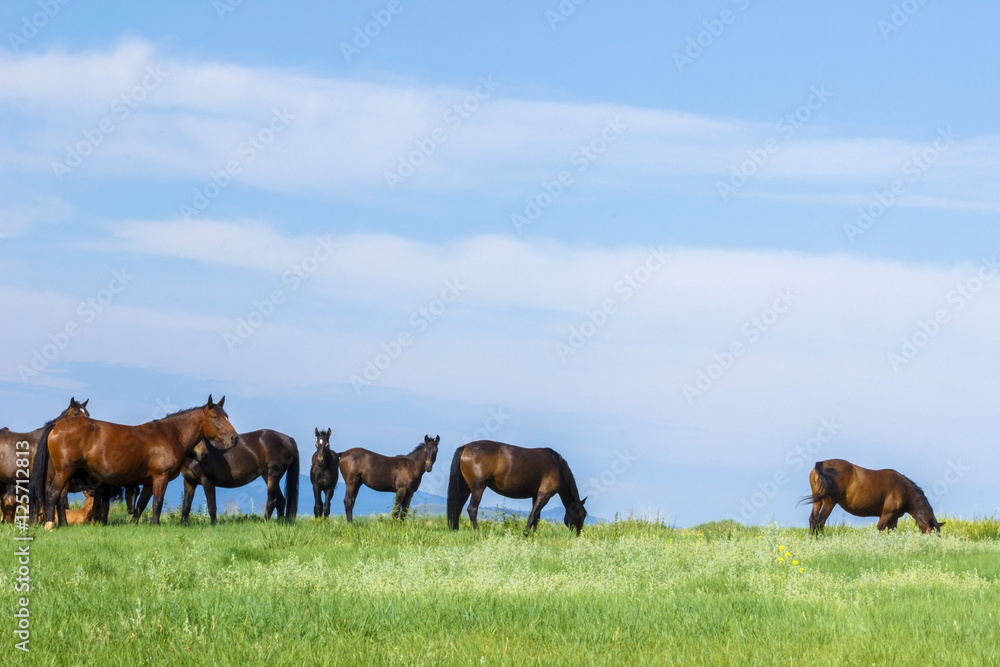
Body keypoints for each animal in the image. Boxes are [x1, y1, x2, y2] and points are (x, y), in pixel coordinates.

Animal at [30, 394, 237, 528]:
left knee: (59, 496)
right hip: (64, 471)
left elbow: (141, 505)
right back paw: (50, 524)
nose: (234, 438)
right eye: (215, 417)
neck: (168, 435)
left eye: (227, 416)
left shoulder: (148, 482)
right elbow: (157, 503)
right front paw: (155, 526)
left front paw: (133, 524)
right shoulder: (160, 478)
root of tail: (56, 426)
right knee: (52, 494)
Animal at [446, 440, 584, 536]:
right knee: (472, 509)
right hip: (478, 488)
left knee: (458, 507)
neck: (558, 466)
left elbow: (537, 518)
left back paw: (455, 530)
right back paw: (477, 532)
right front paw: (525, 535)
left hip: (466, 488)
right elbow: (532, 516)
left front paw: (535, 536)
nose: (578, 534)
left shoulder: (536, 496)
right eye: (582, 515)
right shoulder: (544, 496)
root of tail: (465, 448)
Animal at [796, 460, 944, 536]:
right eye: (933, 532)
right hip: (829, 503)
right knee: (820, 521)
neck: (903, 489)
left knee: (813, 520)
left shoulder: (894, 518)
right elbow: (879, 530)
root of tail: (821, 464)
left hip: (817, 501)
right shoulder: (886, 514)